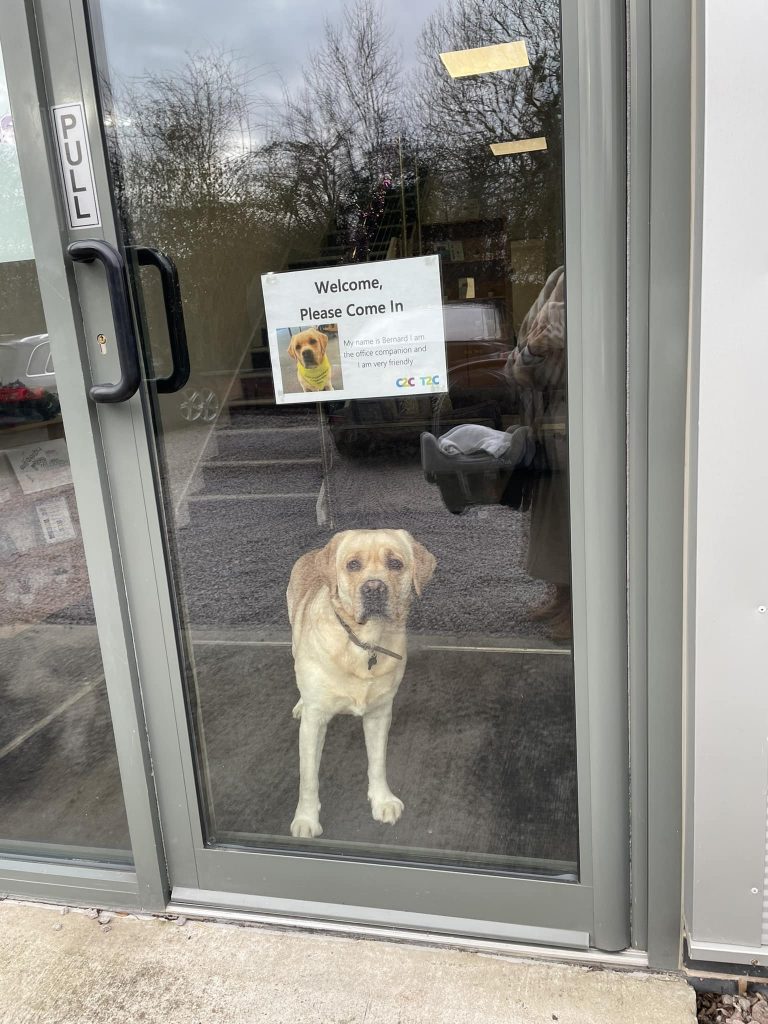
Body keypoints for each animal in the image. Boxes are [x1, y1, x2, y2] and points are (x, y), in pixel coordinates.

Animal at [286, 528, 436, 839]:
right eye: (353, 565)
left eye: (395, 563)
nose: (375, 588)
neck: (364, 643)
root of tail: (314, 551)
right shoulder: (313, 723)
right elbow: (308, 777)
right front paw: (306, 818)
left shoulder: (379, 714)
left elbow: (377, 762)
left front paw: (382, 800)